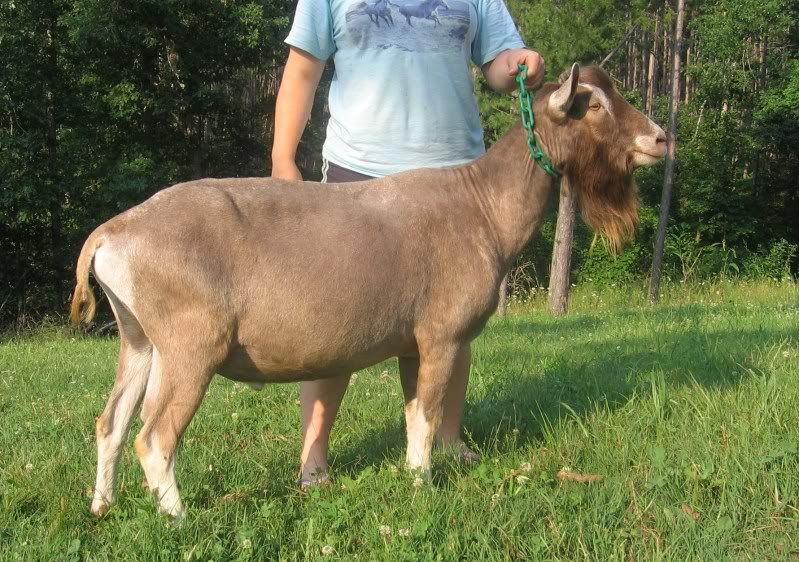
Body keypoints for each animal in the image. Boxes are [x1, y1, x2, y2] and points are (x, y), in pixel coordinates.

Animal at [72, 64, 666, 519]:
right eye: (592, 105)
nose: (660, 138)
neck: (482, 207)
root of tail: (113, 233)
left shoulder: (412, 344)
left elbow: (413, 411)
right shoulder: (441, 335)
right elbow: (427, 414)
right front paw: (422, 484)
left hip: (139, 337)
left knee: (111, 424)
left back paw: (102, 506)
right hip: (190, 344)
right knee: (154, 435)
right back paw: (178, 516)